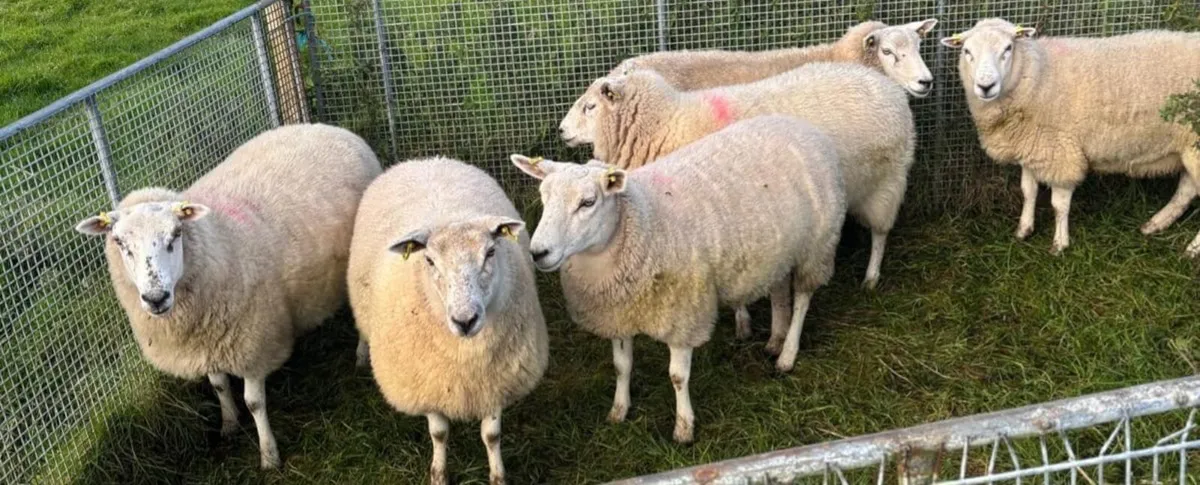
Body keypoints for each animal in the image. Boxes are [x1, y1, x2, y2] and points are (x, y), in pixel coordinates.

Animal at [73, 123, 382, 469]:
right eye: (119, 242)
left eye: (176, 234)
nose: (155, 297)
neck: (217, 241)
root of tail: (331, 128)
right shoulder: (205, 342)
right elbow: (219, 385)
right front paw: (229, 424)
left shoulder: (255, 341)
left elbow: (254, 402)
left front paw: (269, 455)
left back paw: (361, 355)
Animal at [348, 157, 548, 485]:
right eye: (429, 260)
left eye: (490, 252)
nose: (465, 320)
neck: (465, 358)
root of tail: (426, 159)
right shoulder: (429, 385)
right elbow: (439, 433)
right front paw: (439, 474)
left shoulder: (494, 381)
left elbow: (492, 435)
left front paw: (498, 476)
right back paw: (362, 354)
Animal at [512, 114, 846, 443]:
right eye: (543, 198)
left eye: (588, 202)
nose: (538, 252)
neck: (640, 222)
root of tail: (800, 125)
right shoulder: (617, 313)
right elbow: (621, 366)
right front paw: (619, 410)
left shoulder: (683, 313)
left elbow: (677, 376)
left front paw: (684, 428)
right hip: (779, 248)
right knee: (778, 289)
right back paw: (775, 339)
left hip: (818, 244)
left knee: (802, 299)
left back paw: (787, 354)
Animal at [582, 62, 913, 294]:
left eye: (590, 106)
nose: (566, 132)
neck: (668, 123)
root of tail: (891, 89)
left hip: (886, 181)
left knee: (881, 232)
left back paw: (871, 276)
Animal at [940, 19, 1200, 255]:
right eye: (966, 51)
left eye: (1008, 48)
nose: (986, 86)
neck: (1037, 74)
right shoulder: (1034, 146)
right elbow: (1028, 191)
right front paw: (1024, 230)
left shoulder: (1060, 152)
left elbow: (1059, 205)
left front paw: (1059, 244)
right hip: (1188, 146)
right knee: (1186, 190)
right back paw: (1156, 224)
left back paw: (1192, 248)